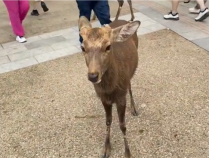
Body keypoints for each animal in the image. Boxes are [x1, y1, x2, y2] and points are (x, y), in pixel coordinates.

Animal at [78, 15, 140, 158]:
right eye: (83, 48)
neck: (110, 90)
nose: (93, 76)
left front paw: (128, 152)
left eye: (108, 46)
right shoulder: (103, 98)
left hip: (130, 73)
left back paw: (134, 108)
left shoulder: (121, 97)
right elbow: (108, 121)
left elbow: (123, 125)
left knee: (130, 86)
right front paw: (106, 148)